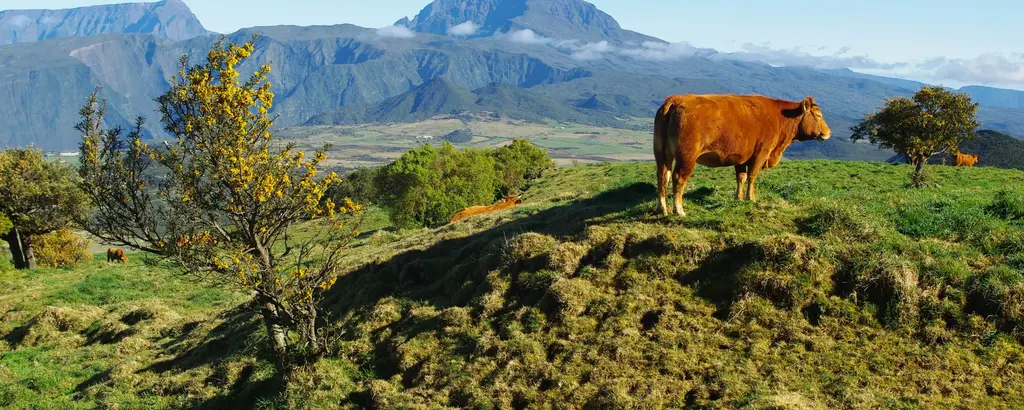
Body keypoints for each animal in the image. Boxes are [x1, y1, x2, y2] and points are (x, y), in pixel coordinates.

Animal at [655, 92, 831, 214]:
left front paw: (738, 199)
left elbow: (741, 177)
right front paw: (750, 199)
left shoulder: (739, 157)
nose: (828, 132)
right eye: (818, 115)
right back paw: (679, 210)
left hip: (661, 153)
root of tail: (677, 99)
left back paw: (662, 208)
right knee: (678, 178)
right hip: (687, 156)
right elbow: (752, 176)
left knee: (663, 176)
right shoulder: (761, 153)